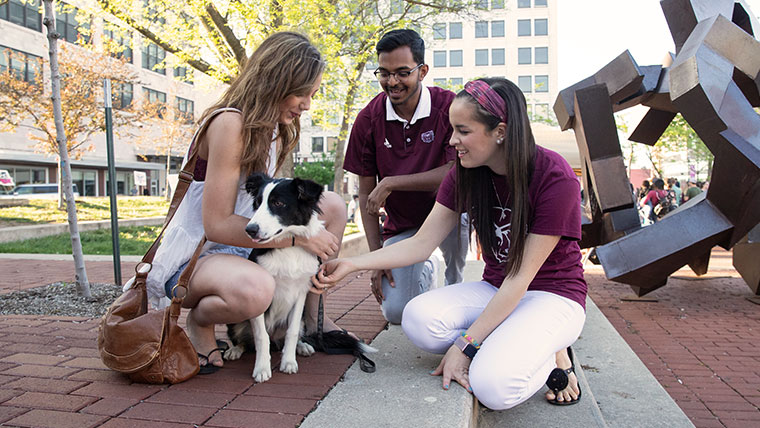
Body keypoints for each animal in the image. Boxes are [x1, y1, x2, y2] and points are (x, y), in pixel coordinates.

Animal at [224, 172, 376, 382]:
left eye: (278, 203)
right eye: (257, 203)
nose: (250, 229)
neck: (288, 248)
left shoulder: (301, 292)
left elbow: (293, 330)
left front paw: (289, 361)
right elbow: (261, 335)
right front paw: (262, 368)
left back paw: (303, 347)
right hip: (236, 322)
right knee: (245, 340)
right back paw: (235, 350)